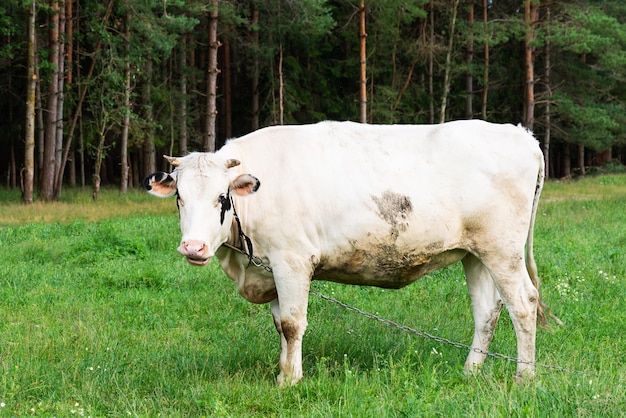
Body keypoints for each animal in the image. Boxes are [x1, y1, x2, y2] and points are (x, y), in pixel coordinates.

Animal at [145, 120, 544, 386]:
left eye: (222, 197)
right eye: (180, 197)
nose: (192, 246)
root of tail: (520, 133)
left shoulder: (292, 261)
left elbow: (292, 323)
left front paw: (289, 381)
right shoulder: (269, 267)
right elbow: (279, 324)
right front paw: (284, 370)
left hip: (503, 251)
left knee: (524, 305)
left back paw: (524, 378)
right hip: (475, 254)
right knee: (487, 312)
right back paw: (470, 372)